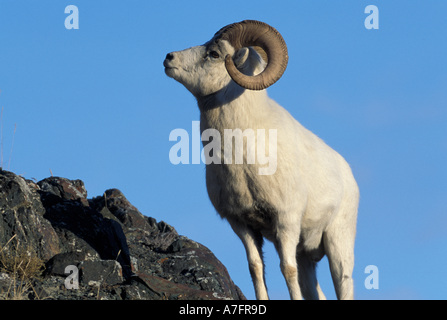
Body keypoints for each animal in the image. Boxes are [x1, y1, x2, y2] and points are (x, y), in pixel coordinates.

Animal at [164, 20, 360, 300]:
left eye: (214, 53)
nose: (168, 58)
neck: (241, 158)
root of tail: (348, 173)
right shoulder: (242, 225)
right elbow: (256, 268)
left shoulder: (286, 222)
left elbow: (287, 270)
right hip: (307, 253)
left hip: (338, 244)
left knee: (343, 284)